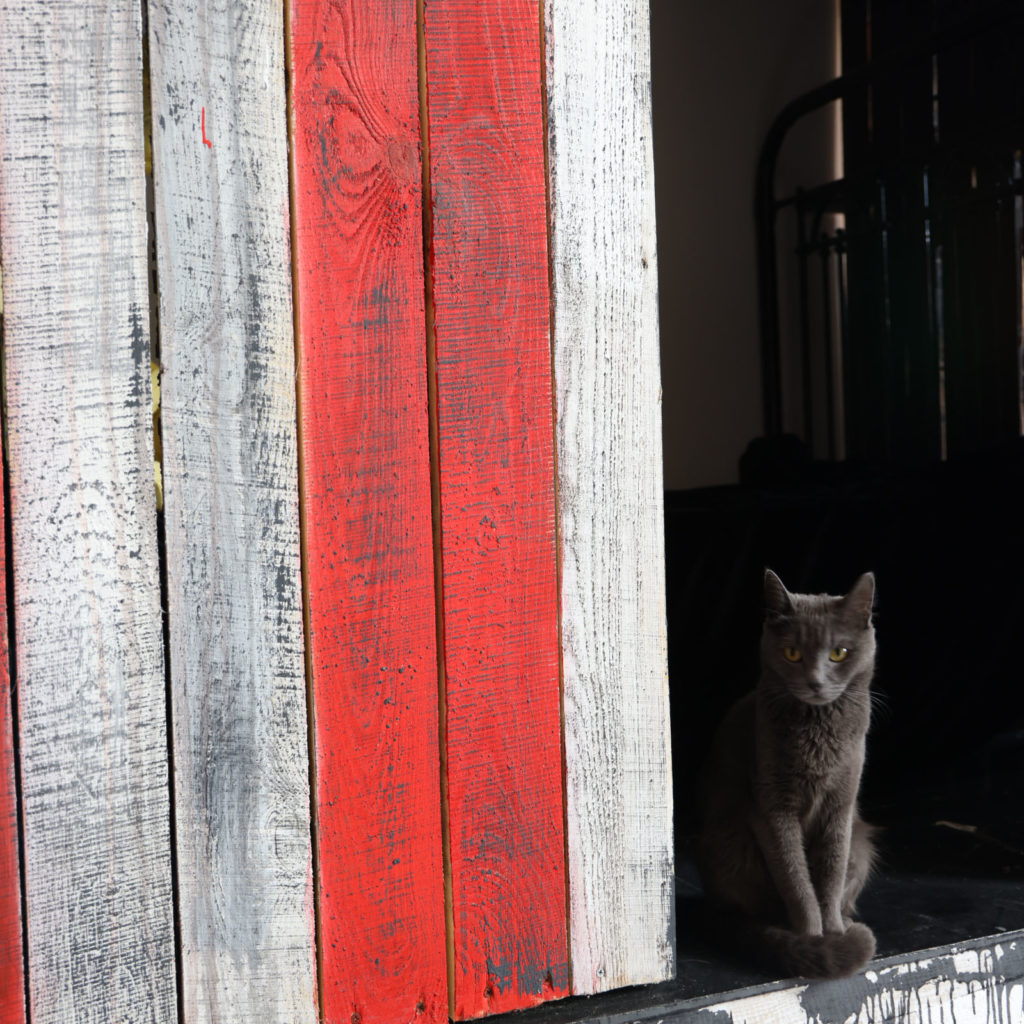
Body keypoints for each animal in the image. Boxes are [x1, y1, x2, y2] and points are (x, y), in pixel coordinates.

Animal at [696, 568, 878, 979]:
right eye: (792, 653)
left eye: (839, 653)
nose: (815, 681)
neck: (818, 733)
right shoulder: (771, 808)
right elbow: (795, 878)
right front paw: (813, 938)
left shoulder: (841, 806)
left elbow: (830, 873)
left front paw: (834, 932)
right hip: (730, 842)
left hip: (861, 845)